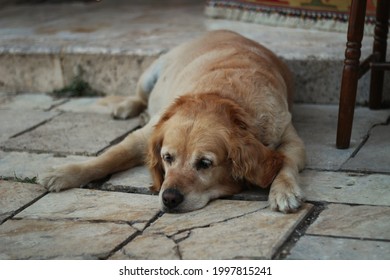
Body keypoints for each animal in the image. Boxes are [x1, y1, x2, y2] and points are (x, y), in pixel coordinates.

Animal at [40, 30, 308, 213]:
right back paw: (127, 107)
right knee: (139, 97)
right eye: (167, 158)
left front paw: (283, 191)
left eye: (205, 163)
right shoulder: (146, 134)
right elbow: (108, 157)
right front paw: (64, 173)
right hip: (150, 75)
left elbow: (287, 162)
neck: (224, 97)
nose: (169, 198)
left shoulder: (290, 136)